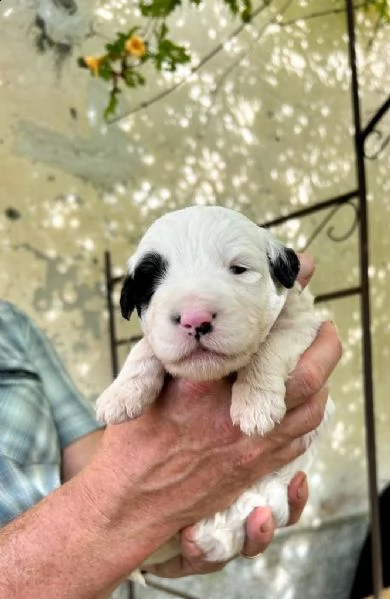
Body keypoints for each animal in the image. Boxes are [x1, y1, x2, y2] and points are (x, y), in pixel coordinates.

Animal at [96, 207, 334, 576]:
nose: (195, 318)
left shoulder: (302, 321)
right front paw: (121, 395)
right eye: (152, 283)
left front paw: (254, 405)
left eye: (239, 269)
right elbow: (145, 346)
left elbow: (272, 343)